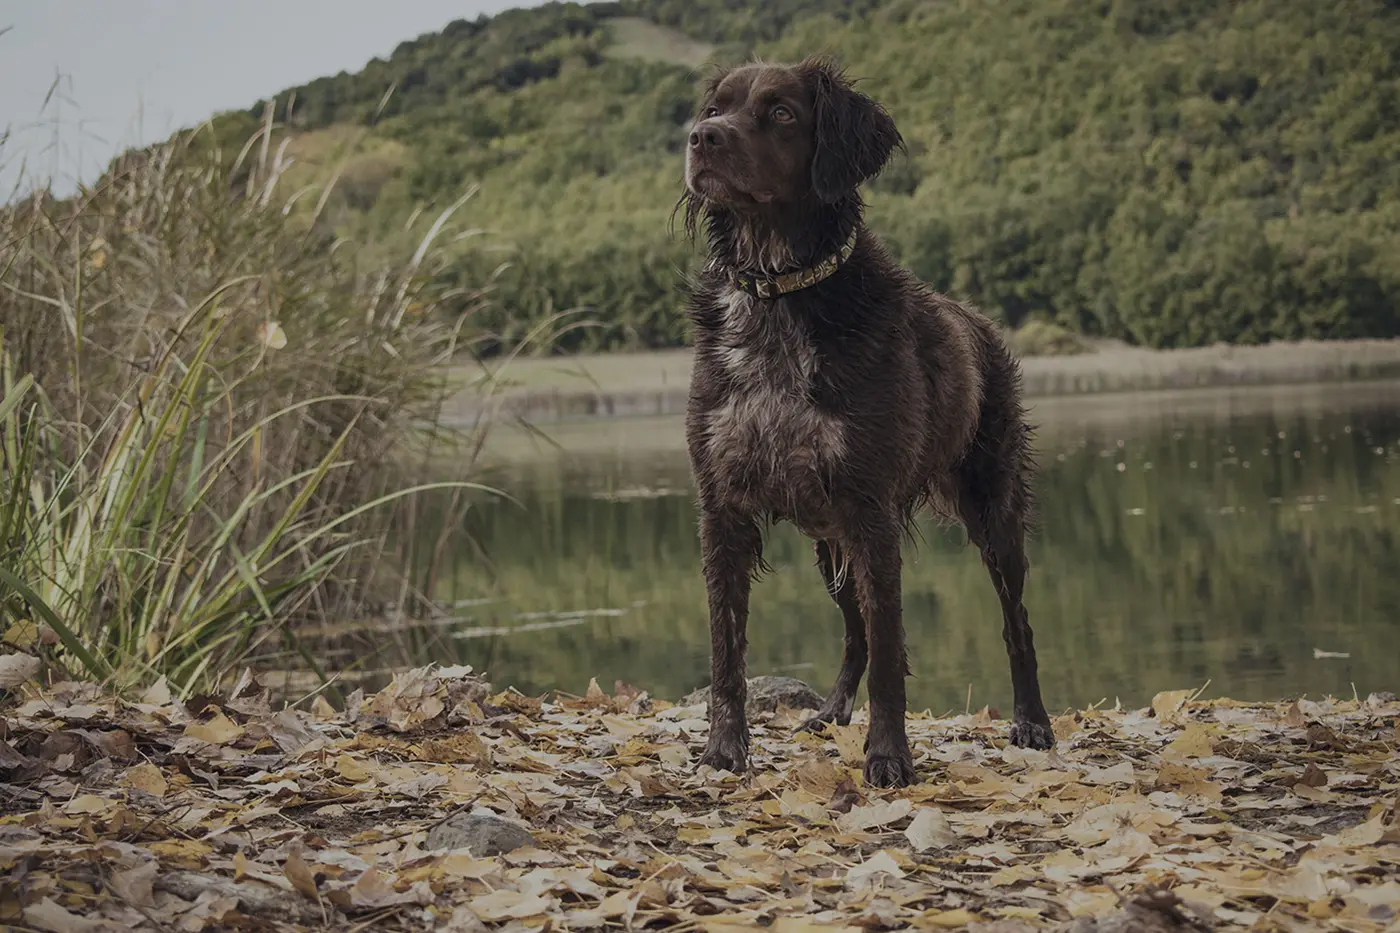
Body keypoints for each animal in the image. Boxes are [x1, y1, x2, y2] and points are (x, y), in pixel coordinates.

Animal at [674, 56, 1052, 784]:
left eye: (782, 112)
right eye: (716, 106)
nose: (701, 138)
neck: (782, 296)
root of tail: (981, 323)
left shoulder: (870, 509)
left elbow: (892, 655)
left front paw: (888, 756)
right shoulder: (723, 506)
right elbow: (725, 651)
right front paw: (724, 750)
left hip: (991, 513)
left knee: (1016, 621)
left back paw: (1033, 722)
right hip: (830, 543)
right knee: (855, 631)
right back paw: (831, 710)